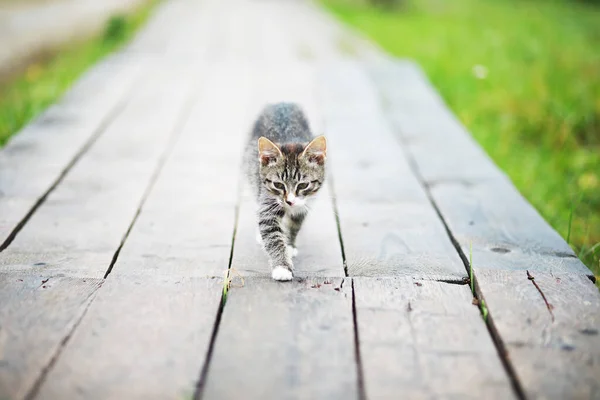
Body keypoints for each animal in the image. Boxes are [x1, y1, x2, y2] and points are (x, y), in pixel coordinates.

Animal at [245, 102, 328, 282]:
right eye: (278, 184)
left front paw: (289, 245)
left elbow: (293, 225)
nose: (289, 201)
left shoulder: (303, 204)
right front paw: (282, 267)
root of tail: (281, 102)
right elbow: (272, 234)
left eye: (303, 185)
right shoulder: (267, 199)